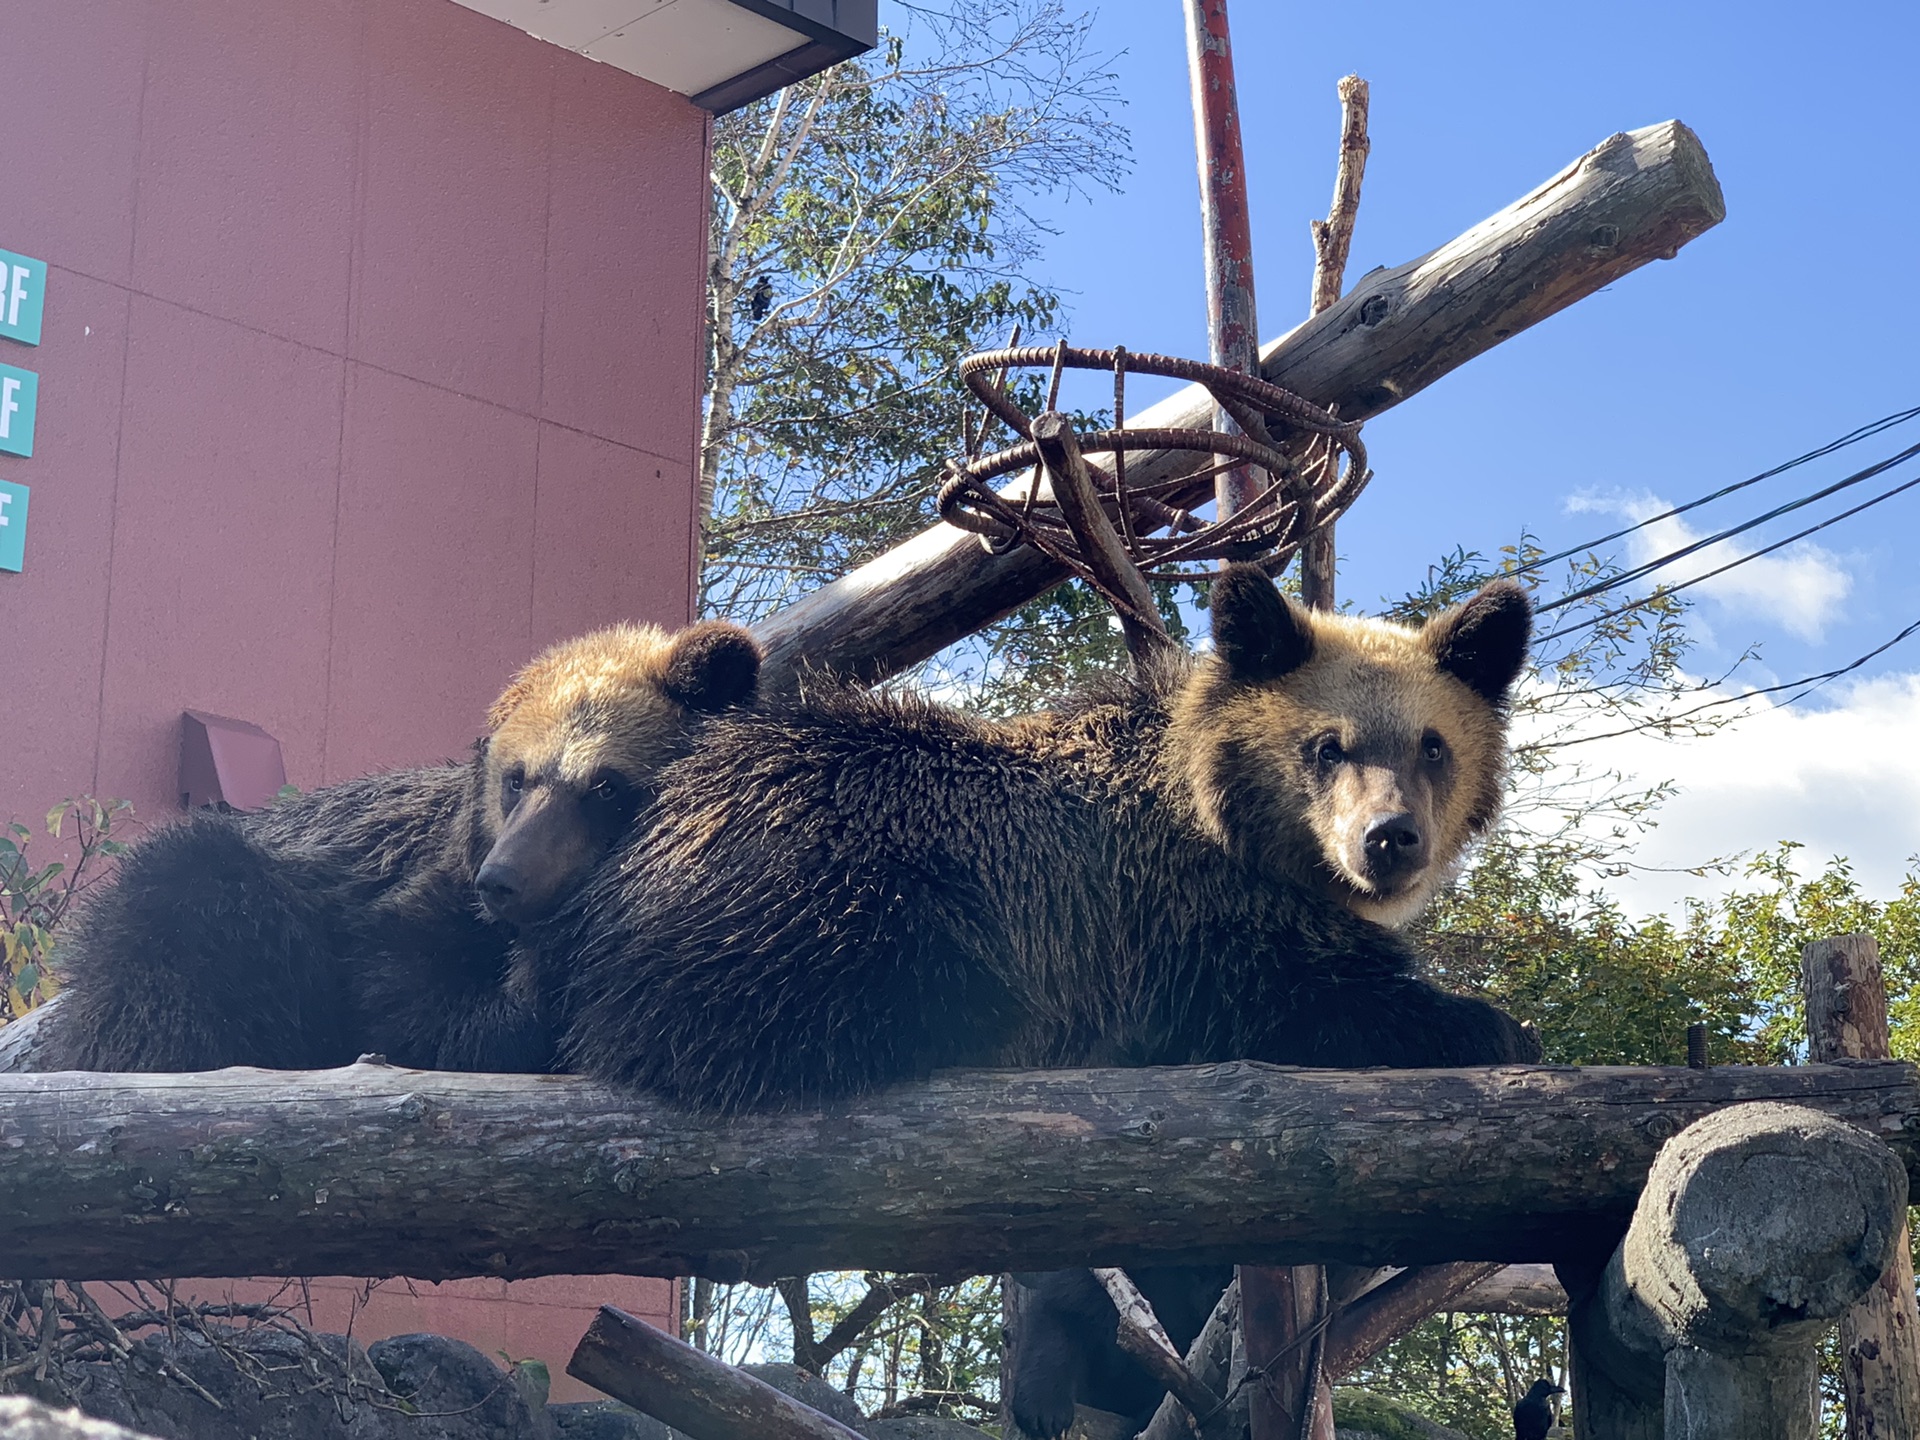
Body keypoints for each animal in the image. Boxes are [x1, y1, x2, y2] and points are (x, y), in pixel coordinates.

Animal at [533, 568, 1536, 1436]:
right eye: (1327, 745)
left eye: (1434, 744)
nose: (1389, 840)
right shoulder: (1169, 918)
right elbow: (1302, 1000)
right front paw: (1486, 1024)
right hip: (849, 881)